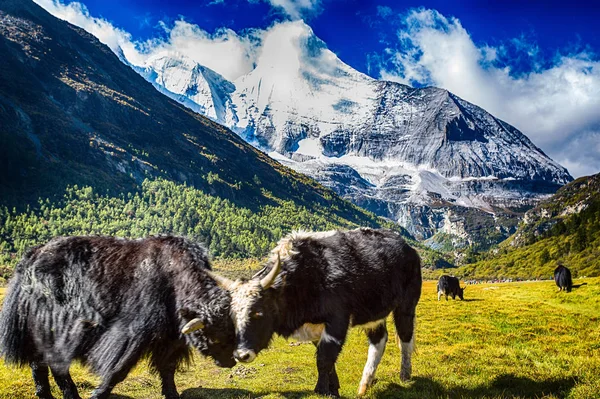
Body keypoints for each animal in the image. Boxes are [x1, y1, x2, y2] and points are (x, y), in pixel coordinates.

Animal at [0, 234, 237, 399]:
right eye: (215, 336)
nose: (231, 362)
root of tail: (32, 256)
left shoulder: (171, 337)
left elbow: (168, 368)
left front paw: (172, 395)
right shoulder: (134, 332)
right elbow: (119, 368)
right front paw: (97, 394)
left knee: (39, 362)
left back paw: (45, 394)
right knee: (53, 363)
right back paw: (70, 395)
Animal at [211, 228, 422, 396]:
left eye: (258, 313)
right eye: (232, 317)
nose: (241, 355)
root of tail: (409, 248)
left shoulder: (337, 321)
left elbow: (324, 358)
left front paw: (321, 390)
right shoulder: (315, 328)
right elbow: (327, 360)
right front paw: (333, 389)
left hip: (406, 306)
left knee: (405, 337)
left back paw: (405, 375)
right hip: (374, 315)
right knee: (379, 340)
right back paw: (364, 385)